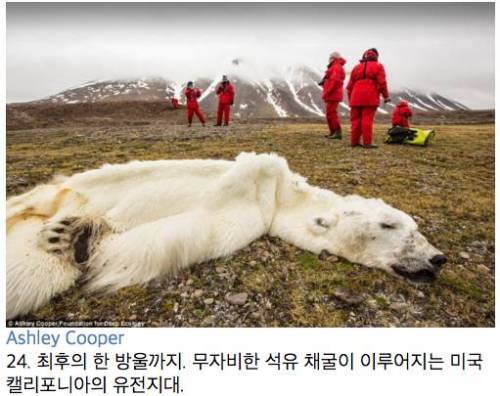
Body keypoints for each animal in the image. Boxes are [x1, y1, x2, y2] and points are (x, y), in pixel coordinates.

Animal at [6, 152, 446, 318]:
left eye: (415, 227)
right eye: (390, 224)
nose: (438, 258)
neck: (280, 195)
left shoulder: (247, 217)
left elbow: (180, 234)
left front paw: (78, 238)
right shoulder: (252, 187)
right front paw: (83, 230)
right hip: (53, 194)